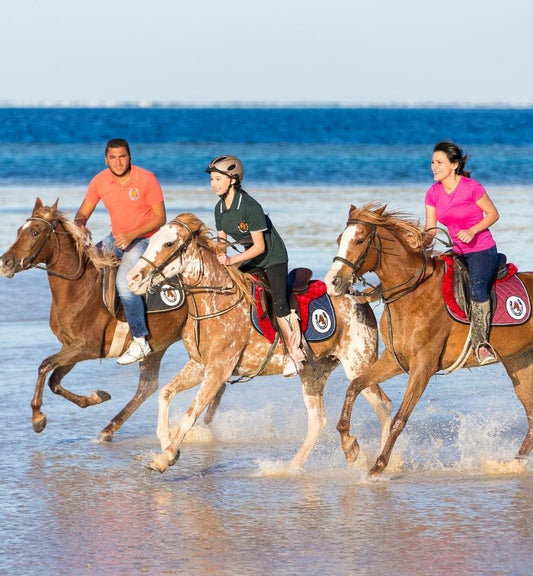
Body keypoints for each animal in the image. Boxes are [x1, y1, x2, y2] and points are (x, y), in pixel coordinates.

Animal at [0, 198, 189, 440]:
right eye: (18, 231)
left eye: (35, 232)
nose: (5, 262)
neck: (77, 289)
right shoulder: (70, 348)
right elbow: (54, 381)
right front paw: (97, 396)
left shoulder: (86, 348)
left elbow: (44, 366)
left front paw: (37, 417)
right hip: (157, 347)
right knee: (146, 387)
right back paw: (109, 428)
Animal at [124, 212, 390, 472]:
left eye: (168, 244)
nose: (132, 278)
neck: (215, 302)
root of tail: (359, 299)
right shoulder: (200, 366)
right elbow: (165, 393)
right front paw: (167, 444)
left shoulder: (218, 371)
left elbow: (192, 412)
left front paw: (165, 457)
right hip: (314, 372)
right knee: (318, 421)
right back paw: (290, 467)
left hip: (358, 365)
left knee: (383, 405)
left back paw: (380, 461)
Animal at [322, 205, 532, 474]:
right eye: (340, 239)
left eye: (359, 240)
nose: (332, 282)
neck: (412, 294)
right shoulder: (394, 360)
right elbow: (355, 386)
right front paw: (349, 446)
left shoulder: (423, 365)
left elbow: (400, 418)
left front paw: (378, 466)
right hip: (519, 362)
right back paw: (513, 463)